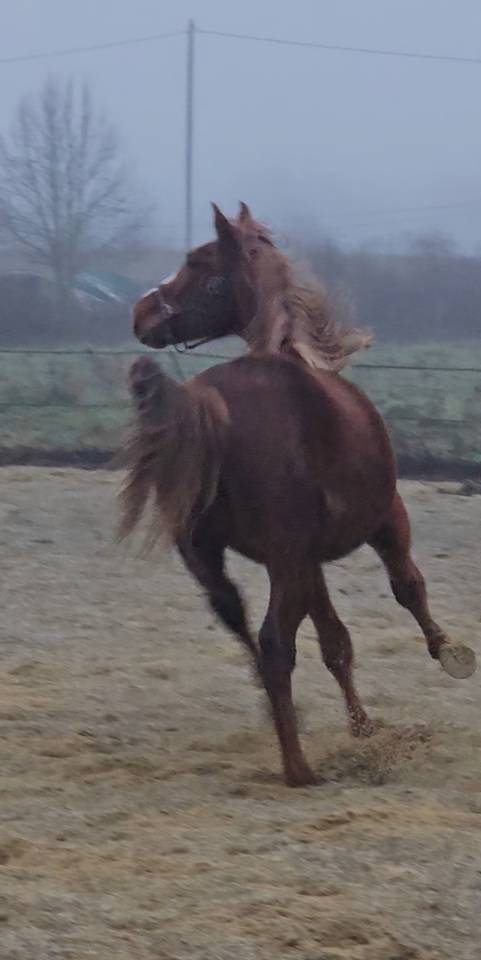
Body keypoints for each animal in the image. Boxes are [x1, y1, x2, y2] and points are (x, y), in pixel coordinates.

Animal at [122, 203, 476, 787]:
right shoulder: (386, 521)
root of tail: (210, 410)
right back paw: (298, 767)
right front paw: (449, 652)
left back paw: (283, 725)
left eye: (198, 263)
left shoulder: (305, 561)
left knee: (241, 625)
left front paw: (363, 727)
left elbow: (335, 641)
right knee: (272, 643)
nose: (141, 311)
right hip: (288, 559)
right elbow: (408, 587)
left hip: (209, 557)